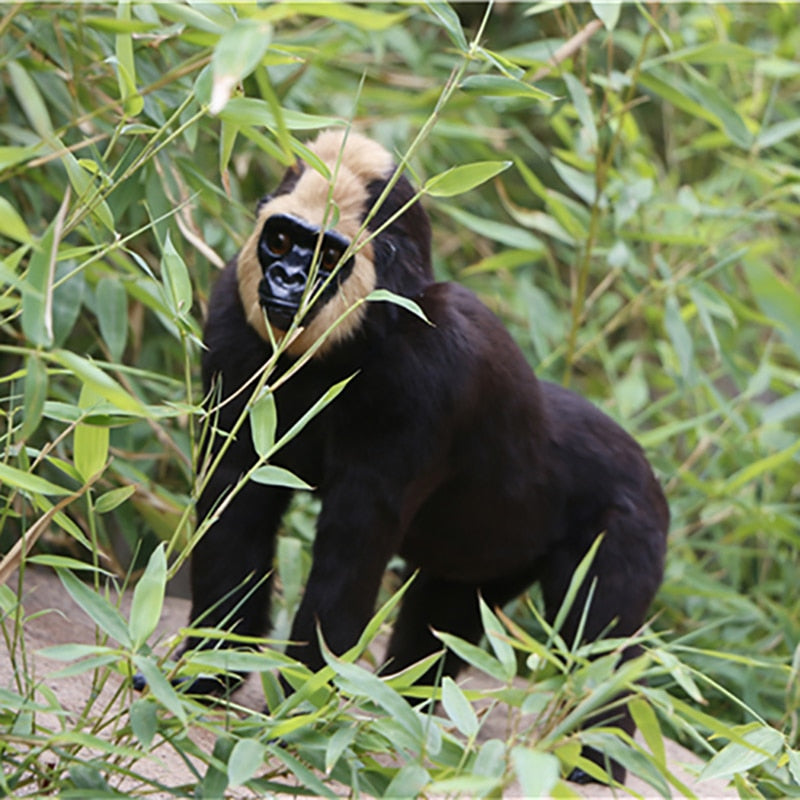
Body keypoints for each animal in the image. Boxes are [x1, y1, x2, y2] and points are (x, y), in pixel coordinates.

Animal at [180, 129, 669, 783]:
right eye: (280, 239)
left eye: (327, 256)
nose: (284, 278)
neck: (368, 329)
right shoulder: (232, 316)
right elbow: (237, 503)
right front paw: (204, 675)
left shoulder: (429, 375)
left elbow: (351, 552)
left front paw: (300, 720)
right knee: (440, 619)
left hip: (632, 519)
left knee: (597, 655)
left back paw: (589, 766)